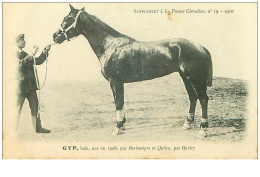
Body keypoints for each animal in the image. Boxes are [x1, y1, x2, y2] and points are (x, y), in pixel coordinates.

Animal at [53, 3, 213, 137]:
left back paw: (203, 129)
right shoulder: (117, 83)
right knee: (193, 97)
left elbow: (118, 103)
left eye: (67, 19)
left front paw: (117, 127)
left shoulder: (115, 81)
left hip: (195, 78)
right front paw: (122, 125)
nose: (55, 36)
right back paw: (187, 123)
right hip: (185, 78)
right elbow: (120, 101)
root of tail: (201, 47)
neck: (110, 45)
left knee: (203, 99)